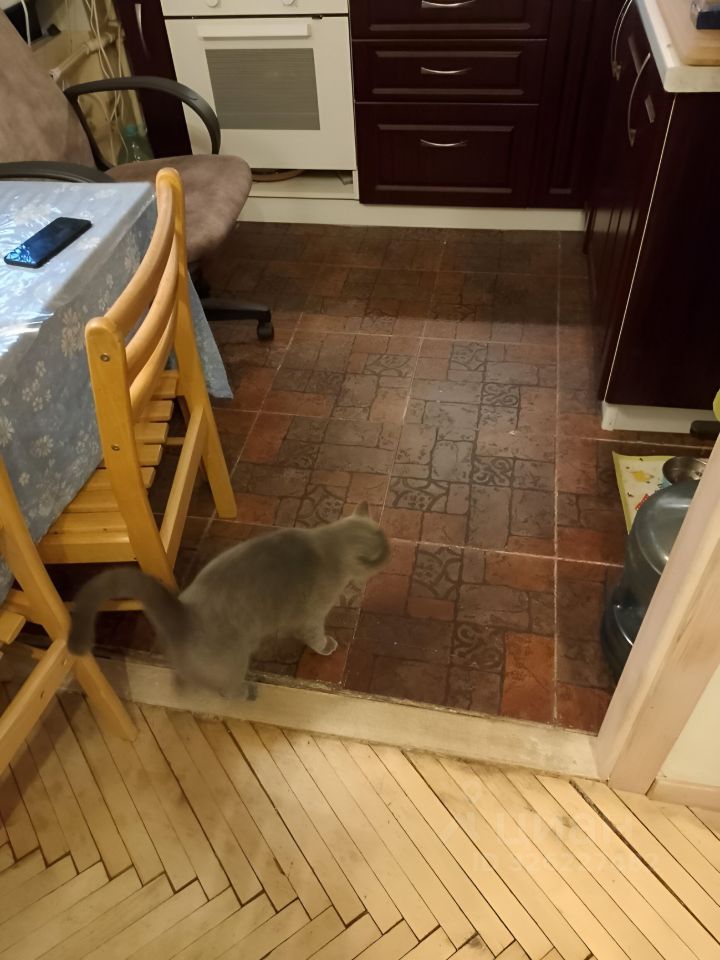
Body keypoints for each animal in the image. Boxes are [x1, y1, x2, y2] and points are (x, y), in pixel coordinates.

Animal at [68, 502, 389, 701]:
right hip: (234, 661)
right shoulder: (312, 618)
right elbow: (316, 637)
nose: (392, 554)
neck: (330, 547)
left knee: (182, 680)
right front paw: (328, 646)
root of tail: (181, 613)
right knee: (225, 689)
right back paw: (248, 692)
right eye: (384, 553)